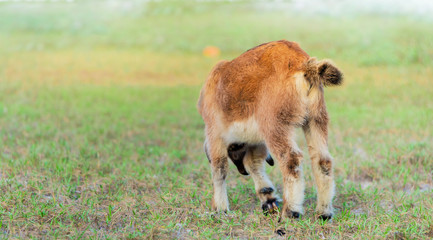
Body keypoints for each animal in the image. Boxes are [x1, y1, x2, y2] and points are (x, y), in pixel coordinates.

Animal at [197, 39, 342, 219]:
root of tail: (303, 65)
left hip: (275, 124)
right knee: (323, 160)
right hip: (316, 119)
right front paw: (268, 199)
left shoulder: (215, 133)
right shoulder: (255, 141)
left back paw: (291, 212)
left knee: (291, 159)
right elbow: (254, 163)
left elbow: (219, 168)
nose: (242, 172)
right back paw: (324, 212)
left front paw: (220, 208)